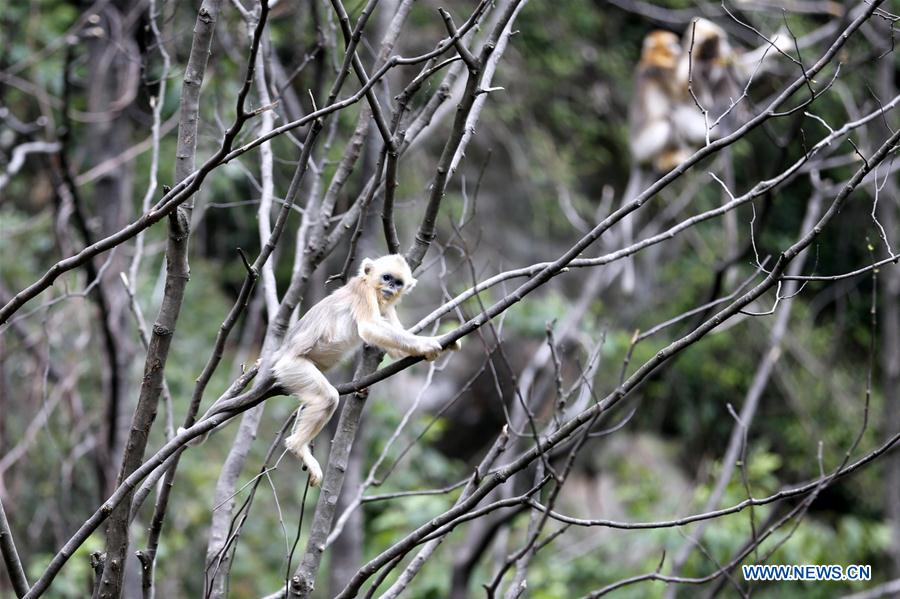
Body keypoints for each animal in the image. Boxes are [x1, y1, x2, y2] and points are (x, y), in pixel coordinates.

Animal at [270, 254, 460, 486]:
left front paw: (445, 341)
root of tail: (282, 353)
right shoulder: (363, 291)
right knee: (328, 398)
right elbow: (370, 327)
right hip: (292, 367)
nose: (390, 287)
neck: (375, 292)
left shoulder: (387, 307)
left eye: (398, 283)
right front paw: (428, 345)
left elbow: (396, 351)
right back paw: (298, 447)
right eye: (386, 277)